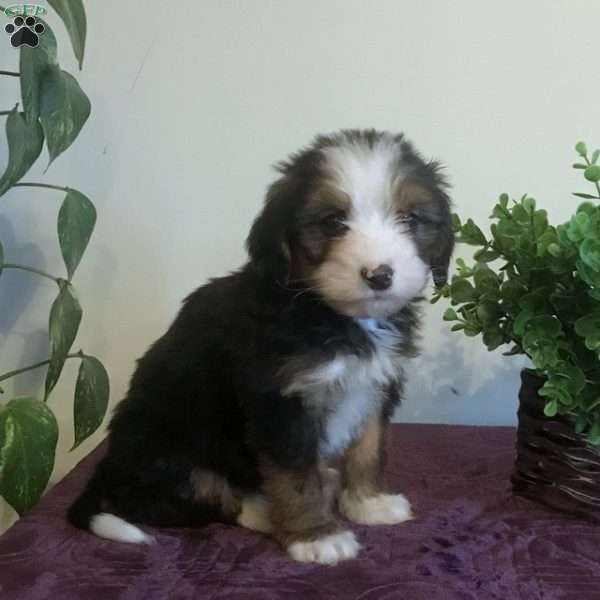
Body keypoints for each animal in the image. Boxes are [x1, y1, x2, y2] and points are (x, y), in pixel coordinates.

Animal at [68, 129, 452, 564]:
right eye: (333, 222)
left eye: (410, 220)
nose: (379, 275)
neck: (330, 313)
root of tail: (106, 472)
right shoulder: (278, 399)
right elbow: (294, 473)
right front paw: (316, 536)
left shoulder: (373, 385)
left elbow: (368, 448)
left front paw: (369, 503)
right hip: (169, 448)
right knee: (195, 498)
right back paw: (267, 512)